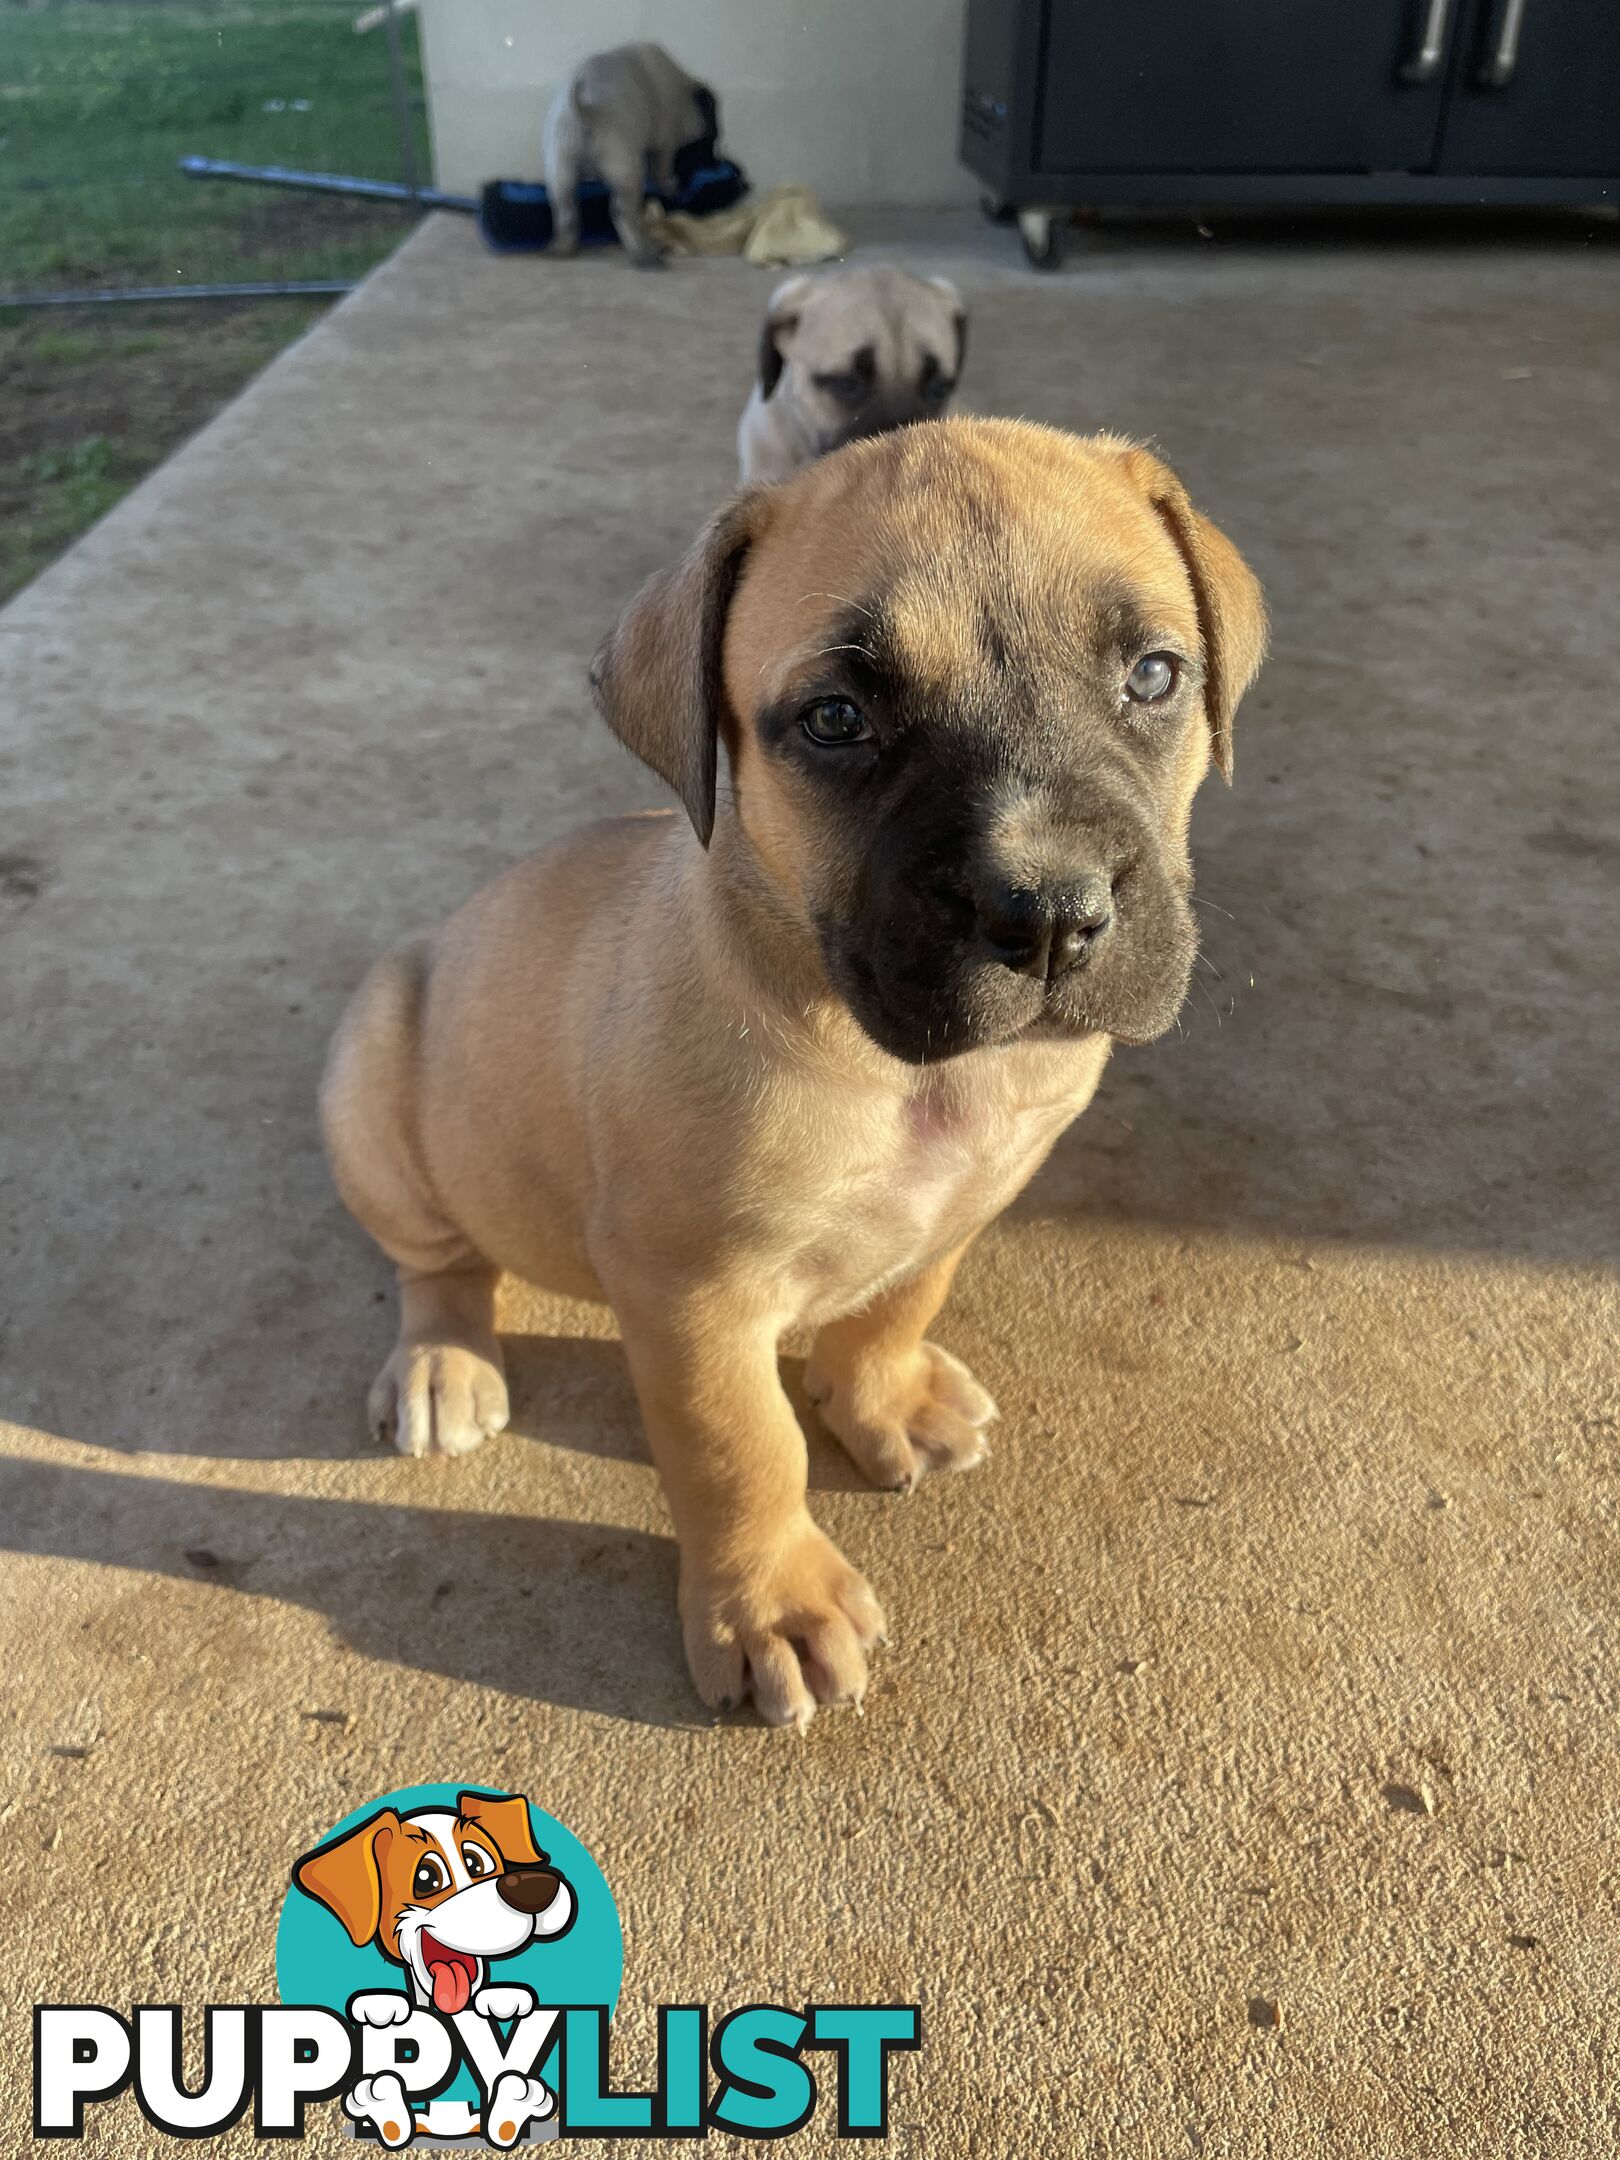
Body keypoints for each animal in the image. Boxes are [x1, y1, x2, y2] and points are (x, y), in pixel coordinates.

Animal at [326, 425, 1270, 1736]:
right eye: (834, 719)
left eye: (1153, 676)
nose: (1049, 916)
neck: (905, 1070)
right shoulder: (691, 1295)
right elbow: (741, 1450)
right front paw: (768, 1604)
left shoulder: (961, 1206)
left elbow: (895, 1304)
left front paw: (883, 1395)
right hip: (376, 1074)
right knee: (439, 1260)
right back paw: (442, 1361)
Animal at [540, 41, 717, 267]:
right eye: (708, 143)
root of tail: (584, 109)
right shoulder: (665, 145)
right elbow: (663, 170)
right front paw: (670, 186)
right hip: (626, 172)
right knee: (622, 212)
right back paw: (645, 255)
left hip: (561, 171)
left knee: (566, 211)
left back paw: (562, 248)